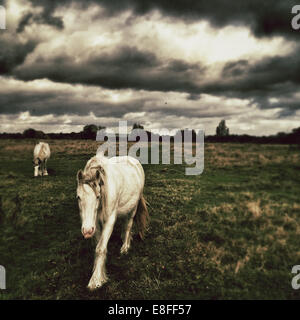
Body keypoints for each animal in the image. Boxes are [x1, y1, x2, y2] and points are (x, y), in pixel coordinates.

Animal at [76, 152, 149, 290]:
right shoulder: (95, 224)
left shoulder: (109, 220)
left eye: (98, 196)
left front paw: (96, 280)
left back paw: (125, 246)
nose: (87, 231)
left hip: (133, 208)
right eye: (78, 197)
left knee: (128, 224)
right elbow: (98, 245)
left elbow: (100, 248)